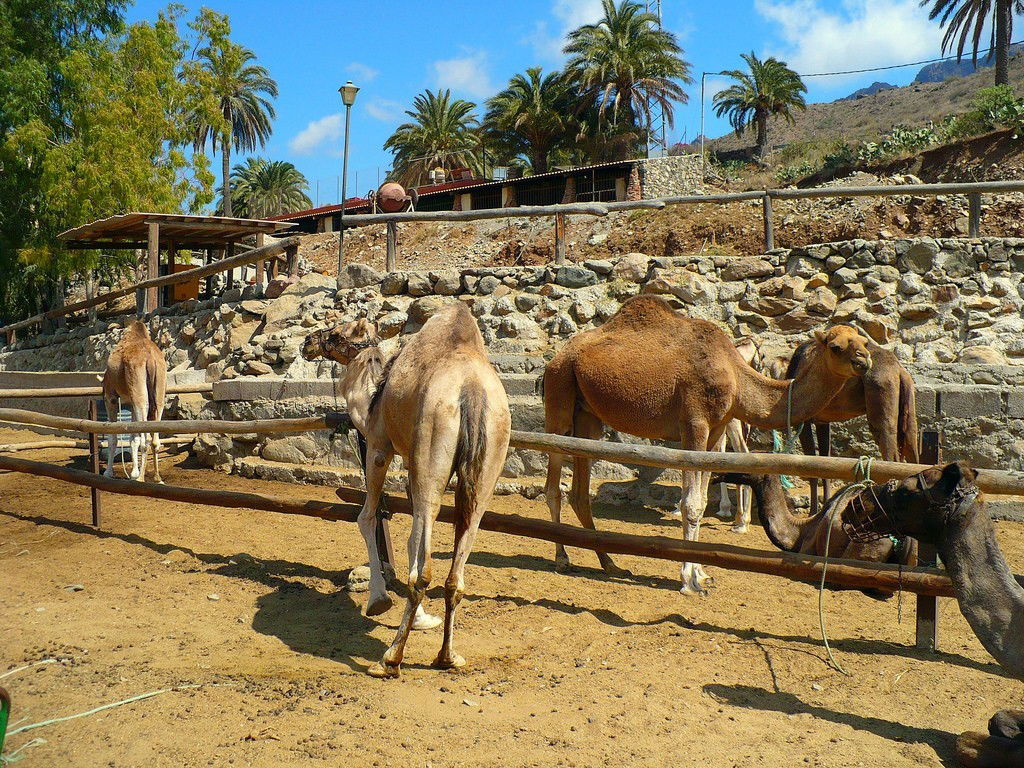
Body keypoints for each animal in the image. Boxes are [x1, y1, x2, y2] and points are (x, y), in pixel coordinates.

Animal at [101, 319, 165, 481]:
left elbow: (113, 438)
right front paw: (133, 473)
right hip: (159, 393)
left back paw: (141, 478)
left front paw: (108, 473)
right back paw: (157, 478)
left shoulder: (110, 398)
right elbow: (133, 437)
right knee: (155, 439)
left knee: (145, 440)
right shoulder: (130, 402)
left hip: (139, 394)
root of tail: (151, 358)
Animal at [303, 307, 512, 679]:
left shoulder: (379, 445)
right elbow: (413, 537)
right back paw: (448, 657)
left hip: (431, 442)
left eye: (337, 333)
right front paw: (422, 620)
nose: (308, 341)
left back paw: (390, 659)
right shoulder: (415, 464)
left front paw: (379, 600)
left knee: (423, 573)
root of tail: (472, 391)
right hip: (487, 465)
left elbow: (367, 516)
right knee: (455, 574)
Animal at [540, 296, 868, 598]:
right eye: (836, 346)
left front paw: (701, 574)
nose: (864, 361)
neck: (736, 374)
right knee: (553, 484)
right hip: (559, 396)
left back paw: (608, 562)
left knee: (580, 492)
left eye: (864, 341)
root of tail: (556, 358)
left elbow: (702, 498)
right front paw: (687, 580)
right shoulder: (694, 423)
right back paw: (562, 557)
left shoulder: (717, 428)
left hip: (588, 417)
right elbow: (692, 503)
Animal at [782, 335, 921, 512]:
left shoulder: (803, 420)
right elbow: (825, 463)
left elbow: (811, 465)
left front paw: (813, 512)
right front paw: (825, 506)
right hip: (909, 404)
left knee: (891, 453)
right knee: (912, 450)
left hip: (880, 394)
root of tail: (899, 370)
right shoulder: (822, 421)